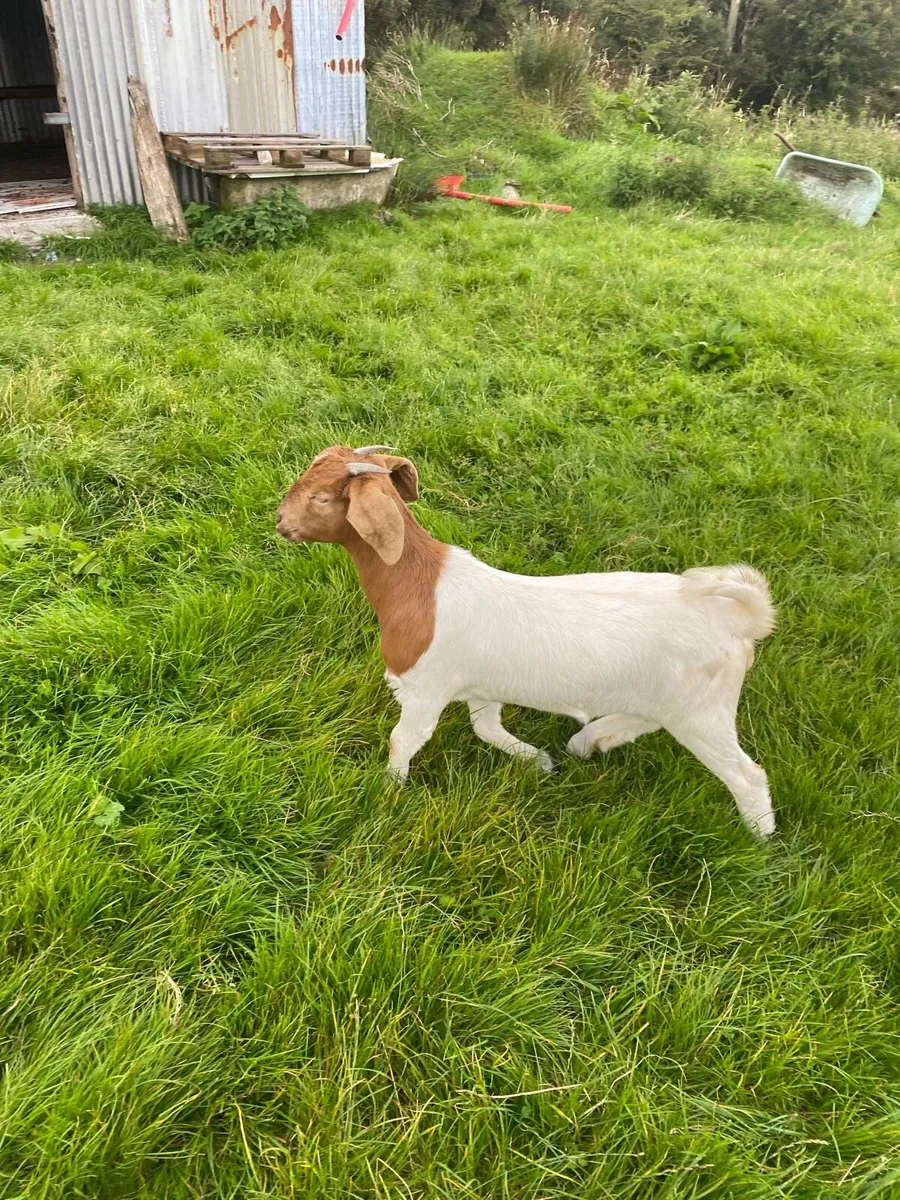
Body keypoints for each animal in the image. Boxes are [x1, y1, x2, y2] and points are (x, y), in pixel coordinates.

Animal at [276, 446, 776, 837]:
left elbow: (404, 739)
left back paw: (760, 837)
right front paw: (537, 761)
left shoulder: (424, 689)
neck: (417, 586)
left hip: (703, 712)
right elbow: (486, 727)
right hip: (675, 700)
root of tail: (738, 618)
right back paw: (588, 742)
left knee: (746, 775)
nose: (280, 522)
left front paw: (388, 791)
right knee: (642, 720)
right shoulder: (481, 686)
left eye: (321, 498)